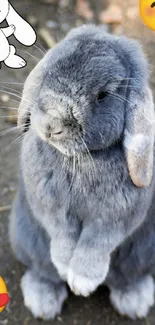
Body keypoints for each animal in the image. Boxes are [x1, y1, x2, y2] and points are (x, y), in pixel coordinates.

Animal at [9, 25, 155, 318]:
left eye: (103, 95)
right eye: (49, 72)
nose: (51, 125)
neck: (81, 159)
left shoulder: (115, 219)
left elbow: (96, 244)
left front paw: (83, 282)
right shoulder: (51, 208)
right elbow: (62, 235)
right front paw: (66, 268)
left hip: (143, 253)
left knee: (127, 278)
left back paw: (135, 301)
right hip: (27, 239)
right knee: (43, 271)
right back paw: (43, 302)